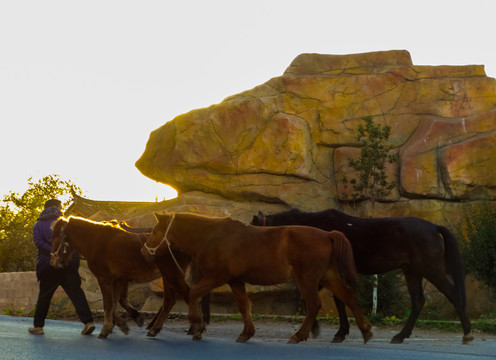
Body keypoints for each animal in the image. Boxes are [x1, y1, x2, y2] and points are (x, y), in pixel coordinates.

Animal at [51, 217, 210, 338]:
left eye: (54, 239)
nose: (53, 262)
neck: (96, 242)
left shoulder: (105, 279)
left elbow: (108, 304)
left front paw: (107, 328)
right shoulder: (119, 279)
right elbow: (117, 303)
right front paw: (125, 322)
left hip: (172, 275)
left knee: (186, 297)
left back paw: (197, 328)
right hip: (168, 276)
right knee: (170, 301)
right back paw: (156, 329)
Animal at [140, 212, 372, 344]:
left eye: (155, 230)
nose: (143, 251)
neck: (213, 236)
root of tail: (327, 234)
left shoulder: (217, 276)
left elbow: (194, 293)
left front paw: (197, 327)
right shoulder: (235, 280)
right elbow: (244, 305)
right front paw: (247, 332)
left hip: (307, 279)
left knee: (314, 304)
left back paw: (299, 335)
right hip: (327, 277)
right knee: (349, 297)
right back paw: (365, 331)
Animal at [252, 207, 472, 344]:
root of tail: (433, 227)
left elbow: (326, 299)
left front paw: (331, 331)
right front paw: (327, 330)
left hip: (431, 269)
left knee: (453, 295)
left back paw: (467, 333)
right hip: (412, 271)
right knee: (418, 301)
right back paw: (401, 335)